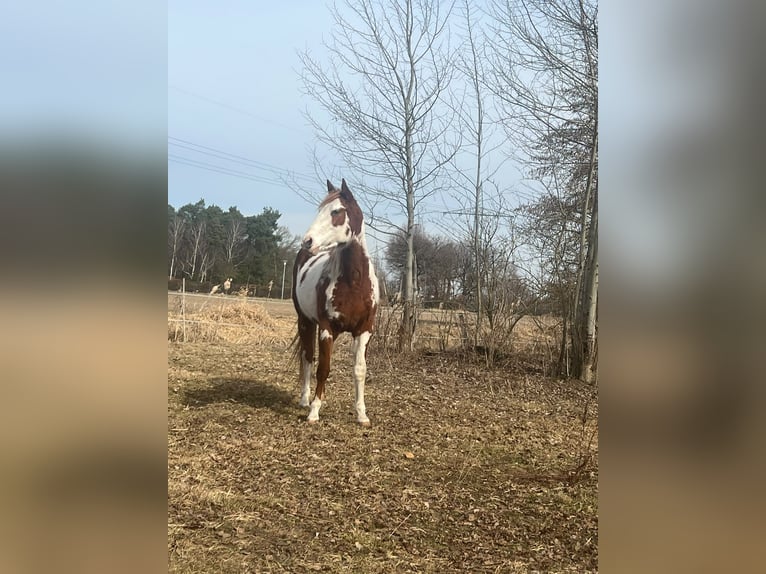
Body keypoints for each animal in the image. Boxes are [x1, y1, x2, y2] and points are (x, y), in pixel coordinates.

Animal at [292, 179, 379, 425]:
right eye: (319, 210)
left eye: (336, 211)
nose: (307, 241)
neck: (354, 282)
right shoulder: (326, 329)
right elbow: (323, 368)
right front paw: (314, 411)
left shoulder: (364, 330)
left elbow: (360, 369)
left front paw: (361, 414)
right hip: (305, 322)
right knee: (307, 357)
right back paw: (305, 399)